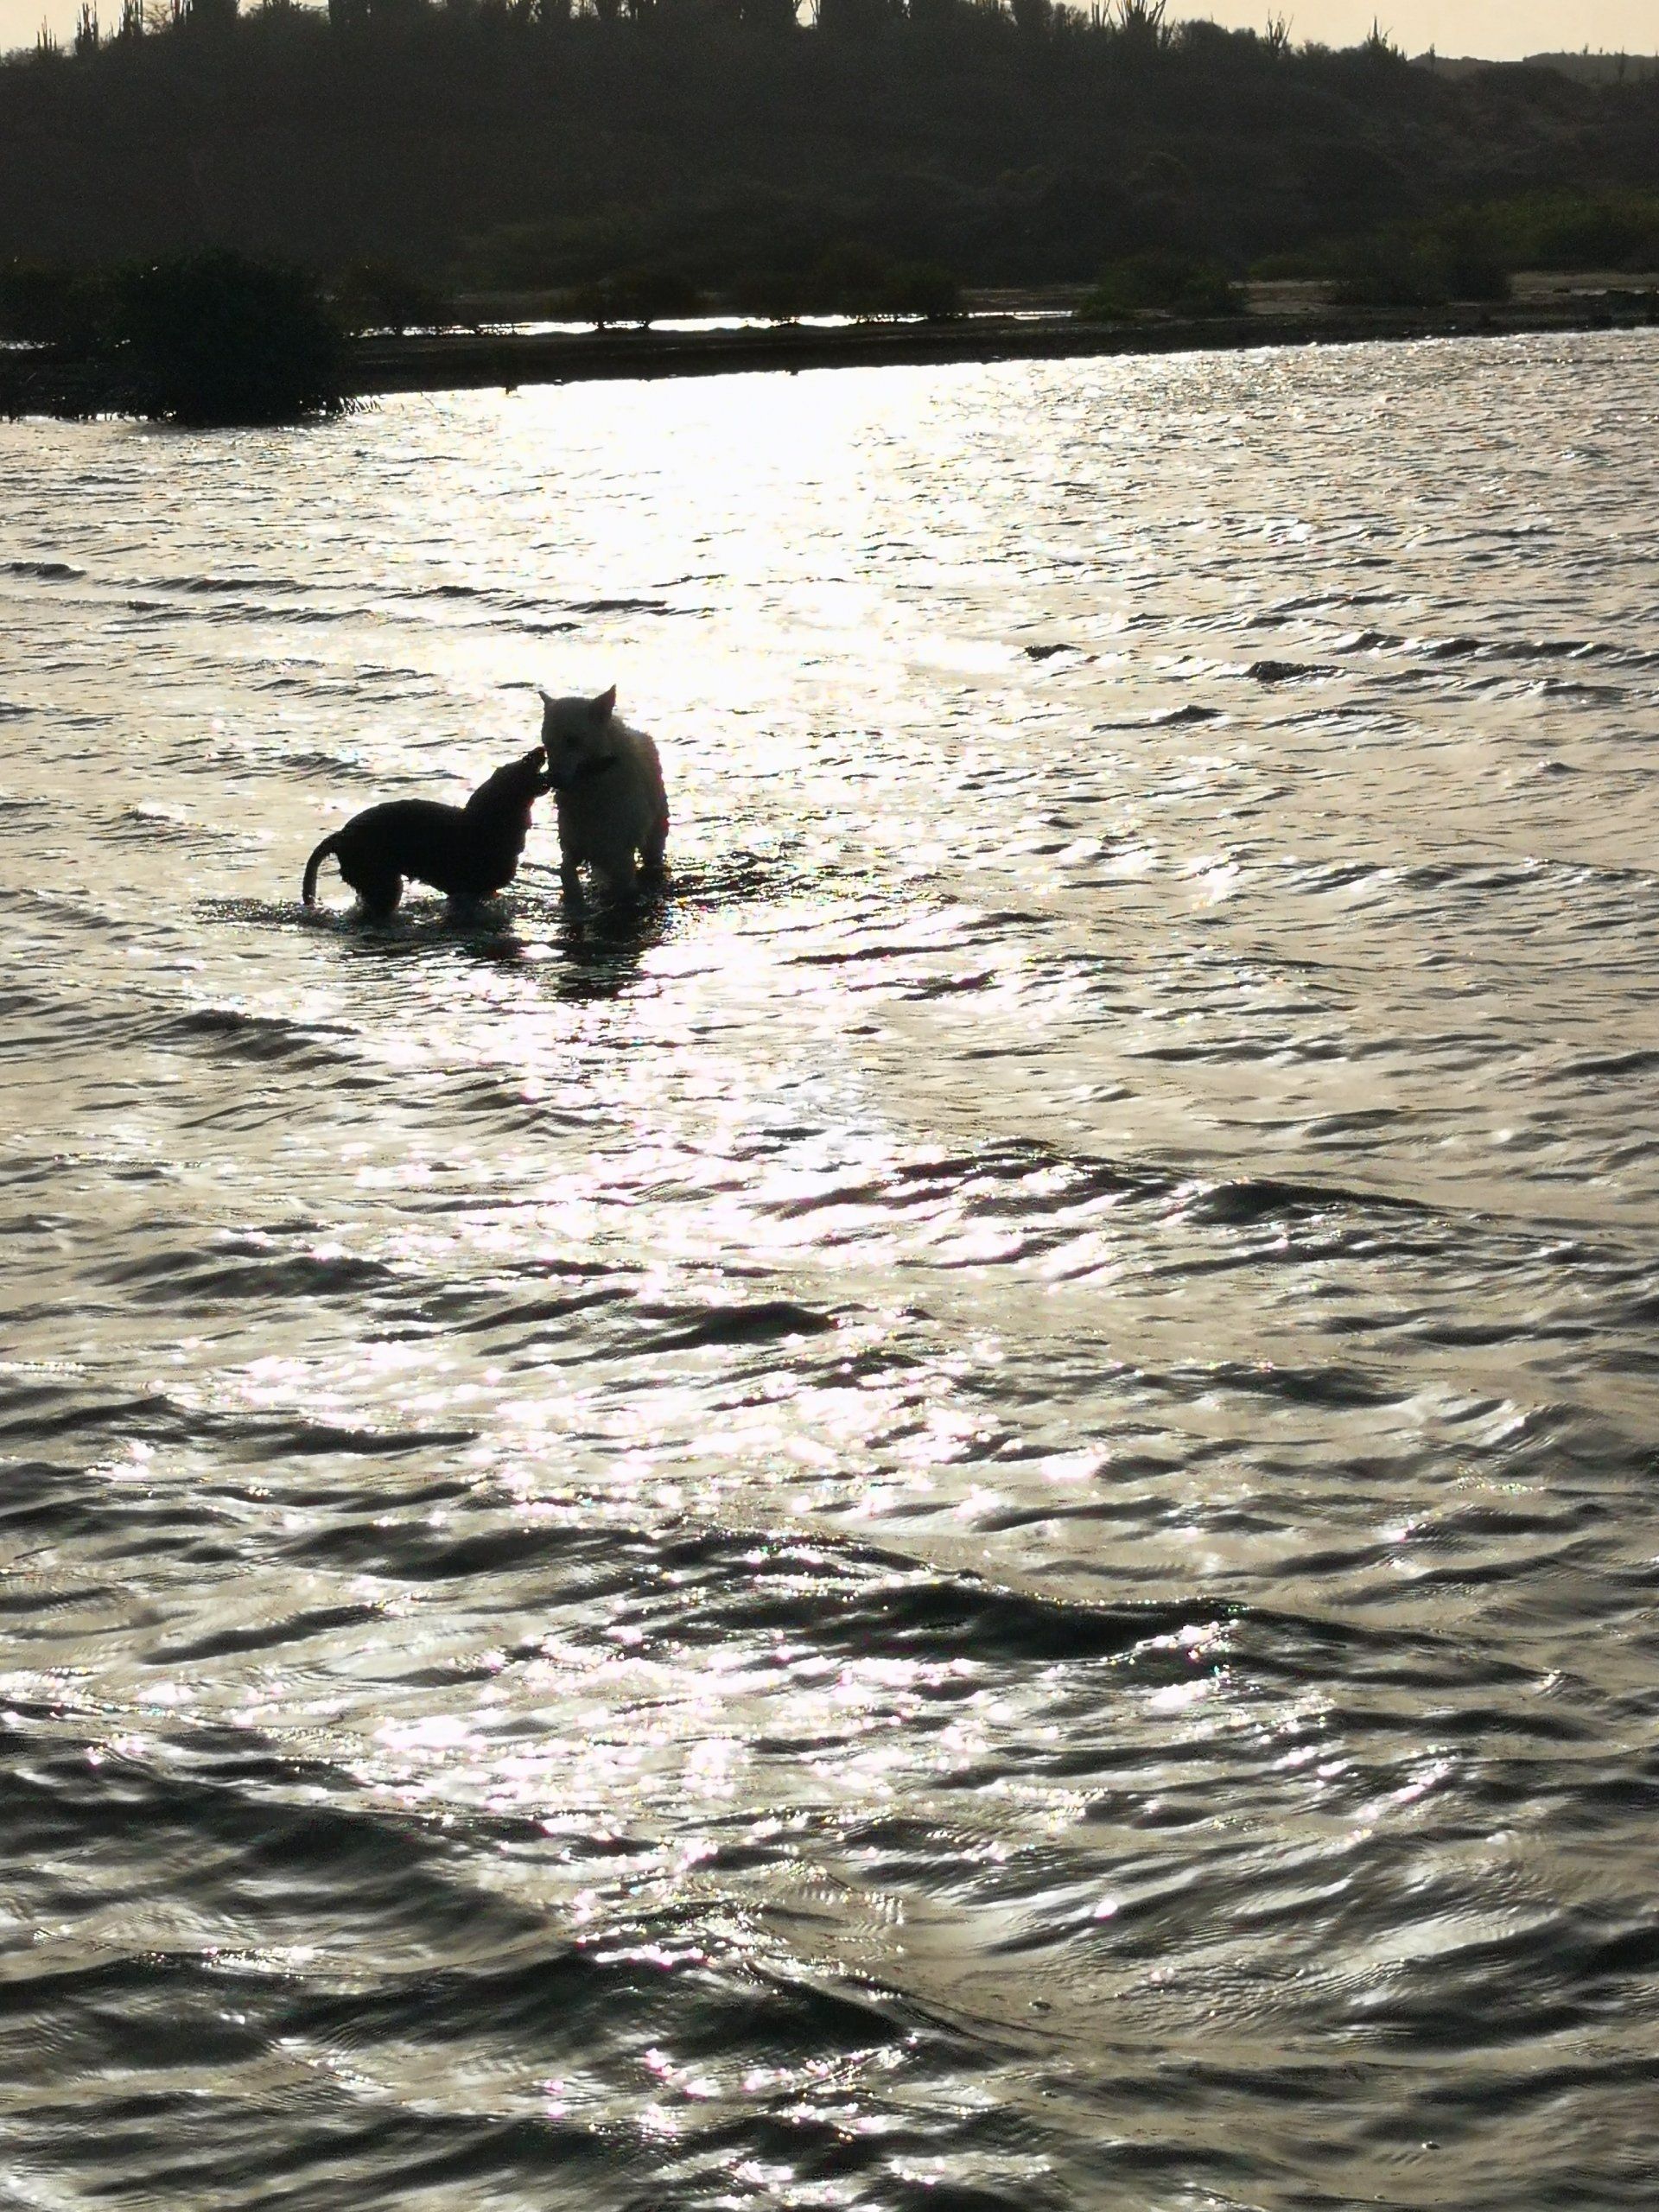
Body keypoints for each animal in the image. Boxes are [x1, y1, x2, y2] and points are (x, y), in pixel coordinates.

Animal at [538, 685, 669, 901]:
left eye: (573, 740)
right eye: (547, 744)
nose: (552, 780)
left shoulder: (619, 852)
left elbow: (624, 884)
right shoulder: (574, 844)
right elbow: (566, 870)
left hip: (655, 833)